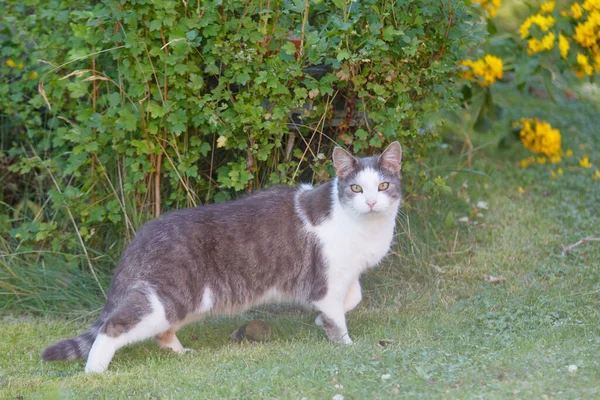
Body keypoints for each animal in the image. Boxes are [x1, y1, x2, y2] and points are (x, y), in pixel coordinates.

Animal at [41, 141, 404, 372]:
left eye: (383, 186)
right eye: (356, 188)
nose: (372, 202)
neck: (363, 226)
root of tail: (144, 233)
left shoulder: (345, 276)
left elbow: (354, 298)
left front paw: (320, 320)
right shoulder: (328, 281)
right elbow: (337, 318)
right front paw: (346, 345)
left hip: (191, 301)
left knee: (162, 333)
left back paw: (182, 353)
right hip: (166, 299)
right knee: (113, 327)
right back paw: (95, 372)